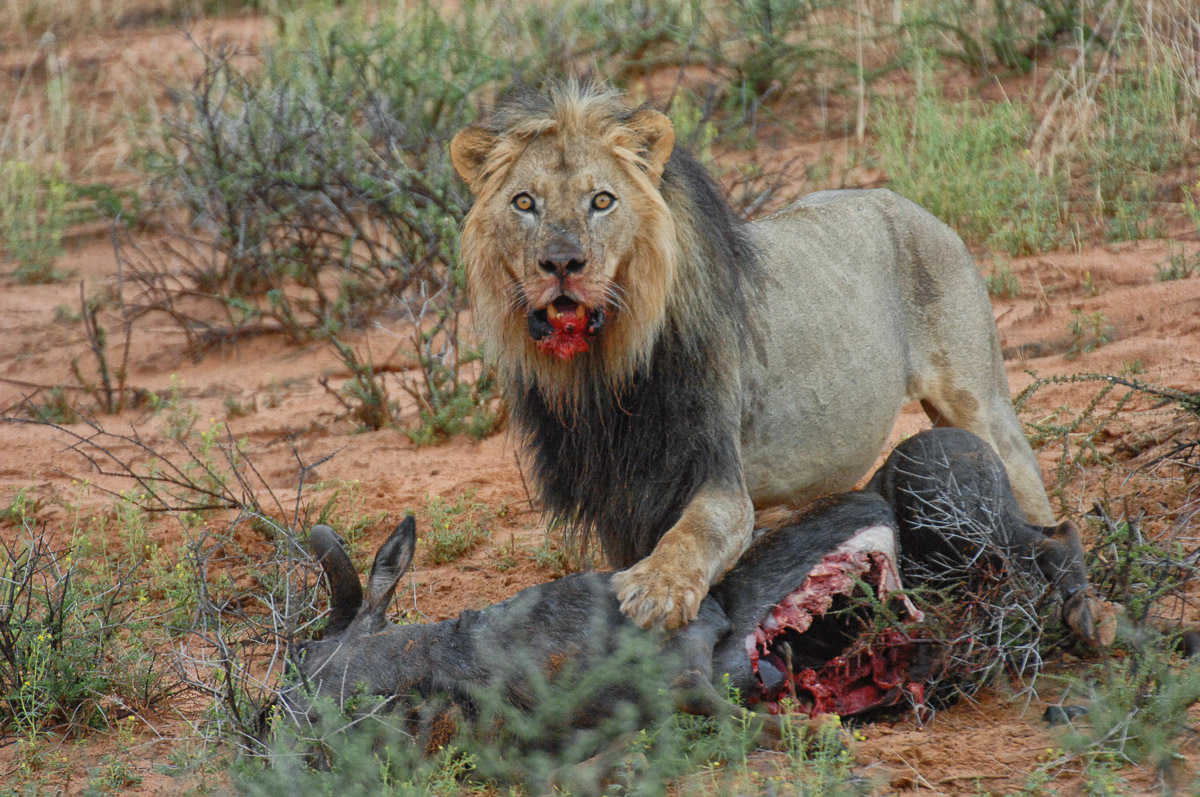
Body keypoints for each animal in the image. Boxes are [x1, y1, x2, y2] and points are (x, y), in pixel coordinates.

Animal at [449, 80, 1058, 632]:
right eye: (524, 203)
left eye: (602, 201)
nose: (561, 262)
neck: (601, 374)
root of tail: (905, 201)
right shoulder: (618, 503)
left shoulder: (718, 476)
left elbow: (694, 535)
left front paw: (656, 592)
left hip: (980, 403)